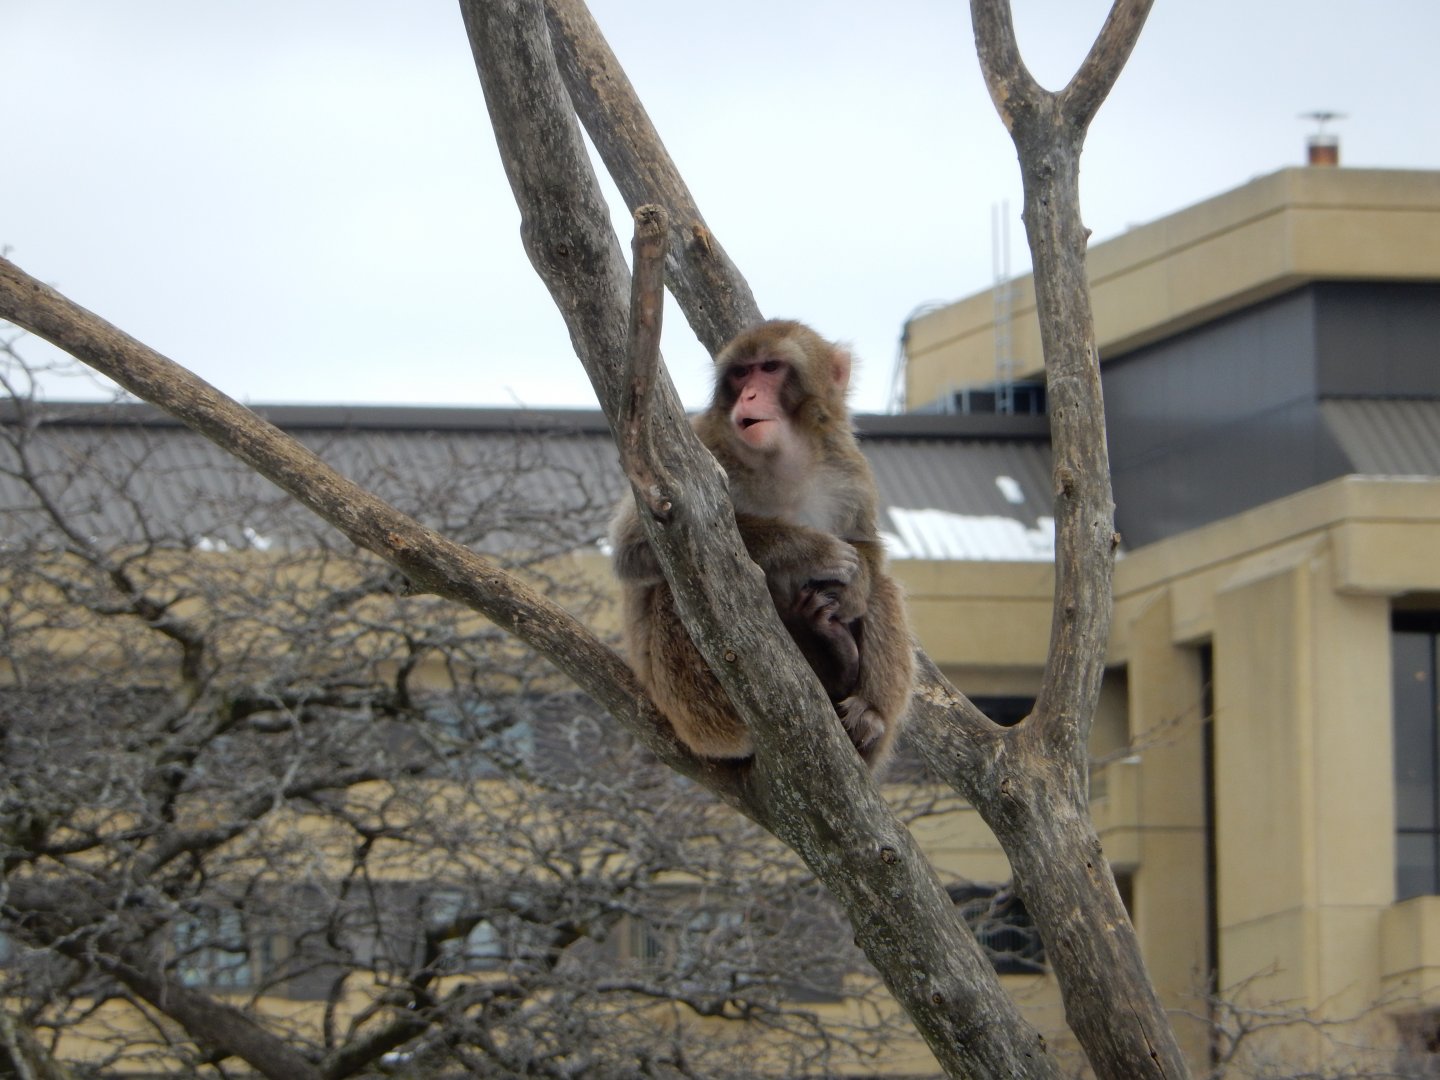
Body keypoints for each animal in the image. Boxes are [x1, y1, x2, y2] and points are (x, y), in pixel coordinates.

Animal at [611, 319, 914, 768]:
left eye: (770, 368)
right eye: (741, 373)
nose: (750, 394)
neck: (780, 461)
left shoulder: (850, 471)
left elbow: (867, 549)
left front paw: (855, 583)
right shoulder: (695, 449)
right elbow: (633, 551)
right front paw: (808, 549)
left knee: (885, 588)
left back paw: (861, 702)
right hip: (693, 718)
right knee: (677, 589)